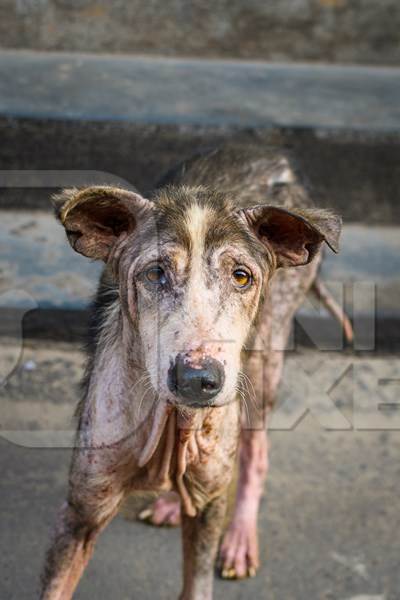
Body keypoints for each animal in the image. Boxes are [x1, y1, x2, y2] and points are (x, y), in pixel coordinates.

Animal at [39, 143, 348, 596]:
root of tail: (270, 153)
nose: (198, 380)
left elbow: (197, 582)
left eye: (241, 276)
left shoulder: (208, 511)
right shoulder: (80, 513)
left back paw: (239, 538)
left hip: (263, 363)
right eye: (155, 273)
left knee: (255, 453)